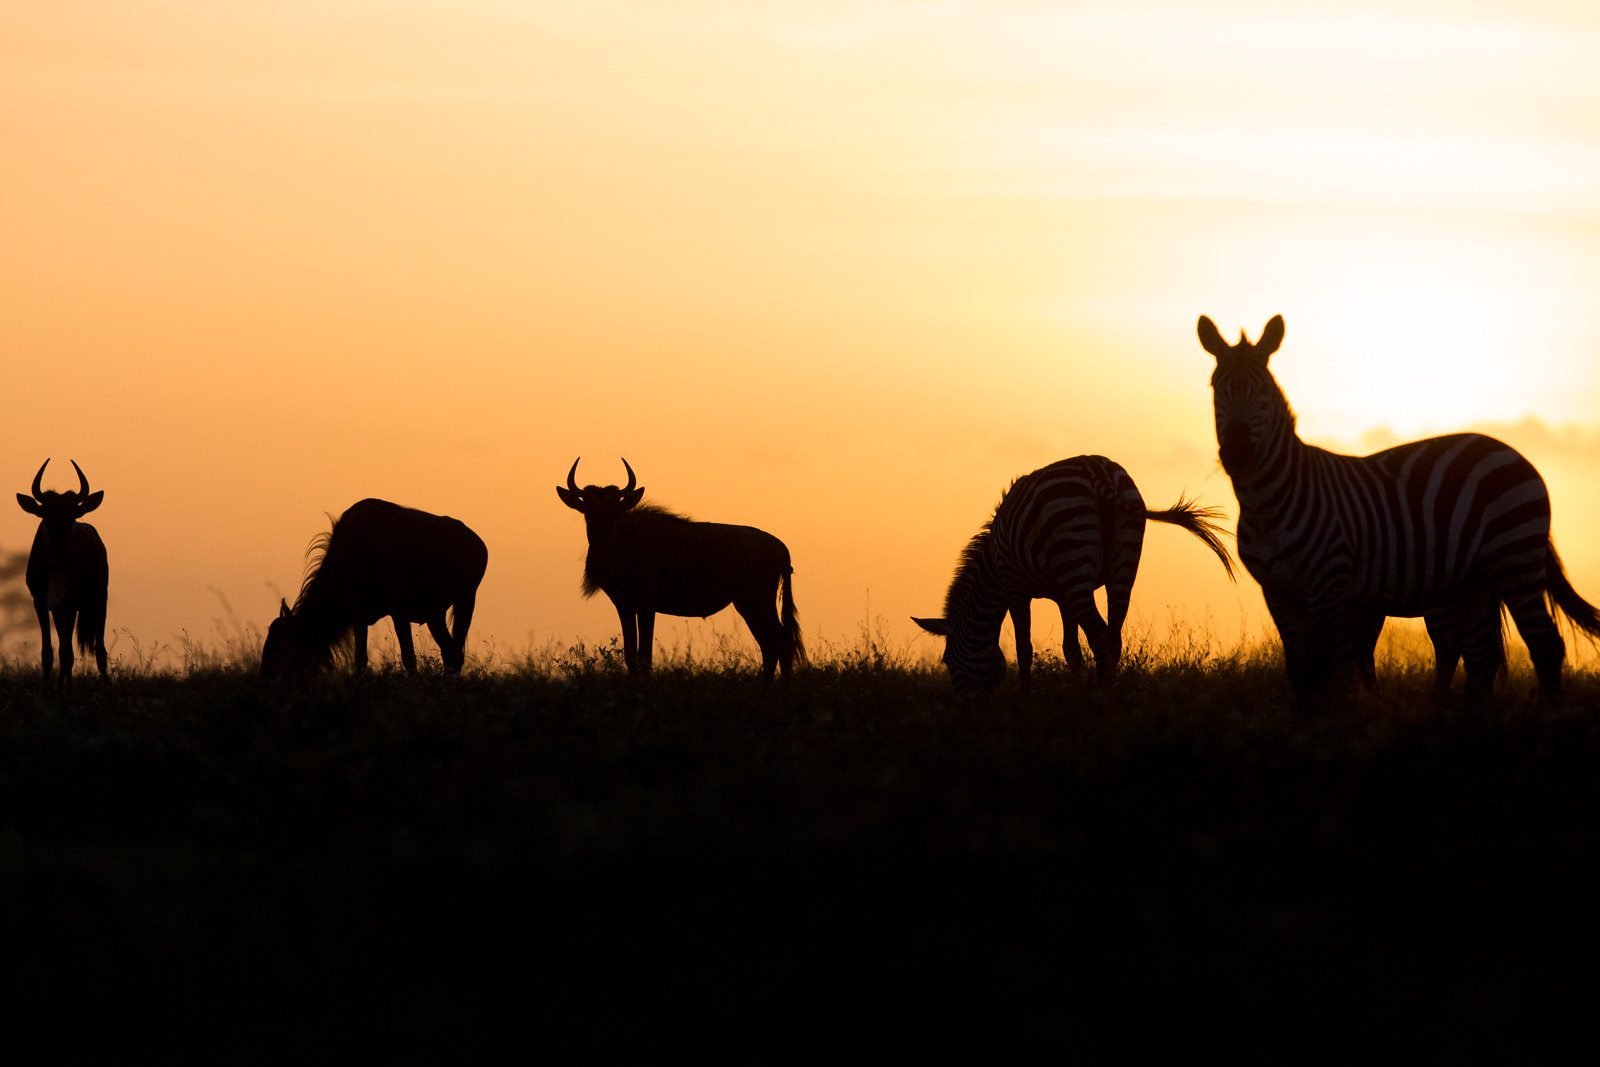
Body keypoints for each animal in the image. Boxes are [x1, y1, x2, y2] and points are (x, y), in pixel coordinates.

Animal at [915, 457, 1235, 694]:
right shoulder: (1061, 594)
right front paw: (1075, 689)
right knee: (1113, 636)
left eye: (947, 660)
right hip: (1121, 567)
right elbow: (1071, 649)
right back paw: (1107, 691)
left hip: (1073, 554)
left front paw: (1026, 697)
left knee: (1100, 636)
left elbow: (1024, 647)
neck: (991, 568)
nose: (963, 707)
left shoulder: (1014, 586)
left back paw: (1100, 696)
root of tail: (1098, 474)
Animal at [1203, 313, 1600, 703]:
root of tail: (1511, 450)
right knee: (1481, 655)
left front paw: (1338, 717)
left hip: (1515, 558)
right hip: (1471, 581)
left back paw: (1541, 713)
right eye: (1215, 389)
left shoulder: (1329, 586)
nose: (1237, 452)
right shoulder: (1277, 593)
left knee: (1545, 645)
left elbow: (1332, 673)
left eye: (1264, 393)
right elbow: (1301, 672)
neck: (1266, 505)